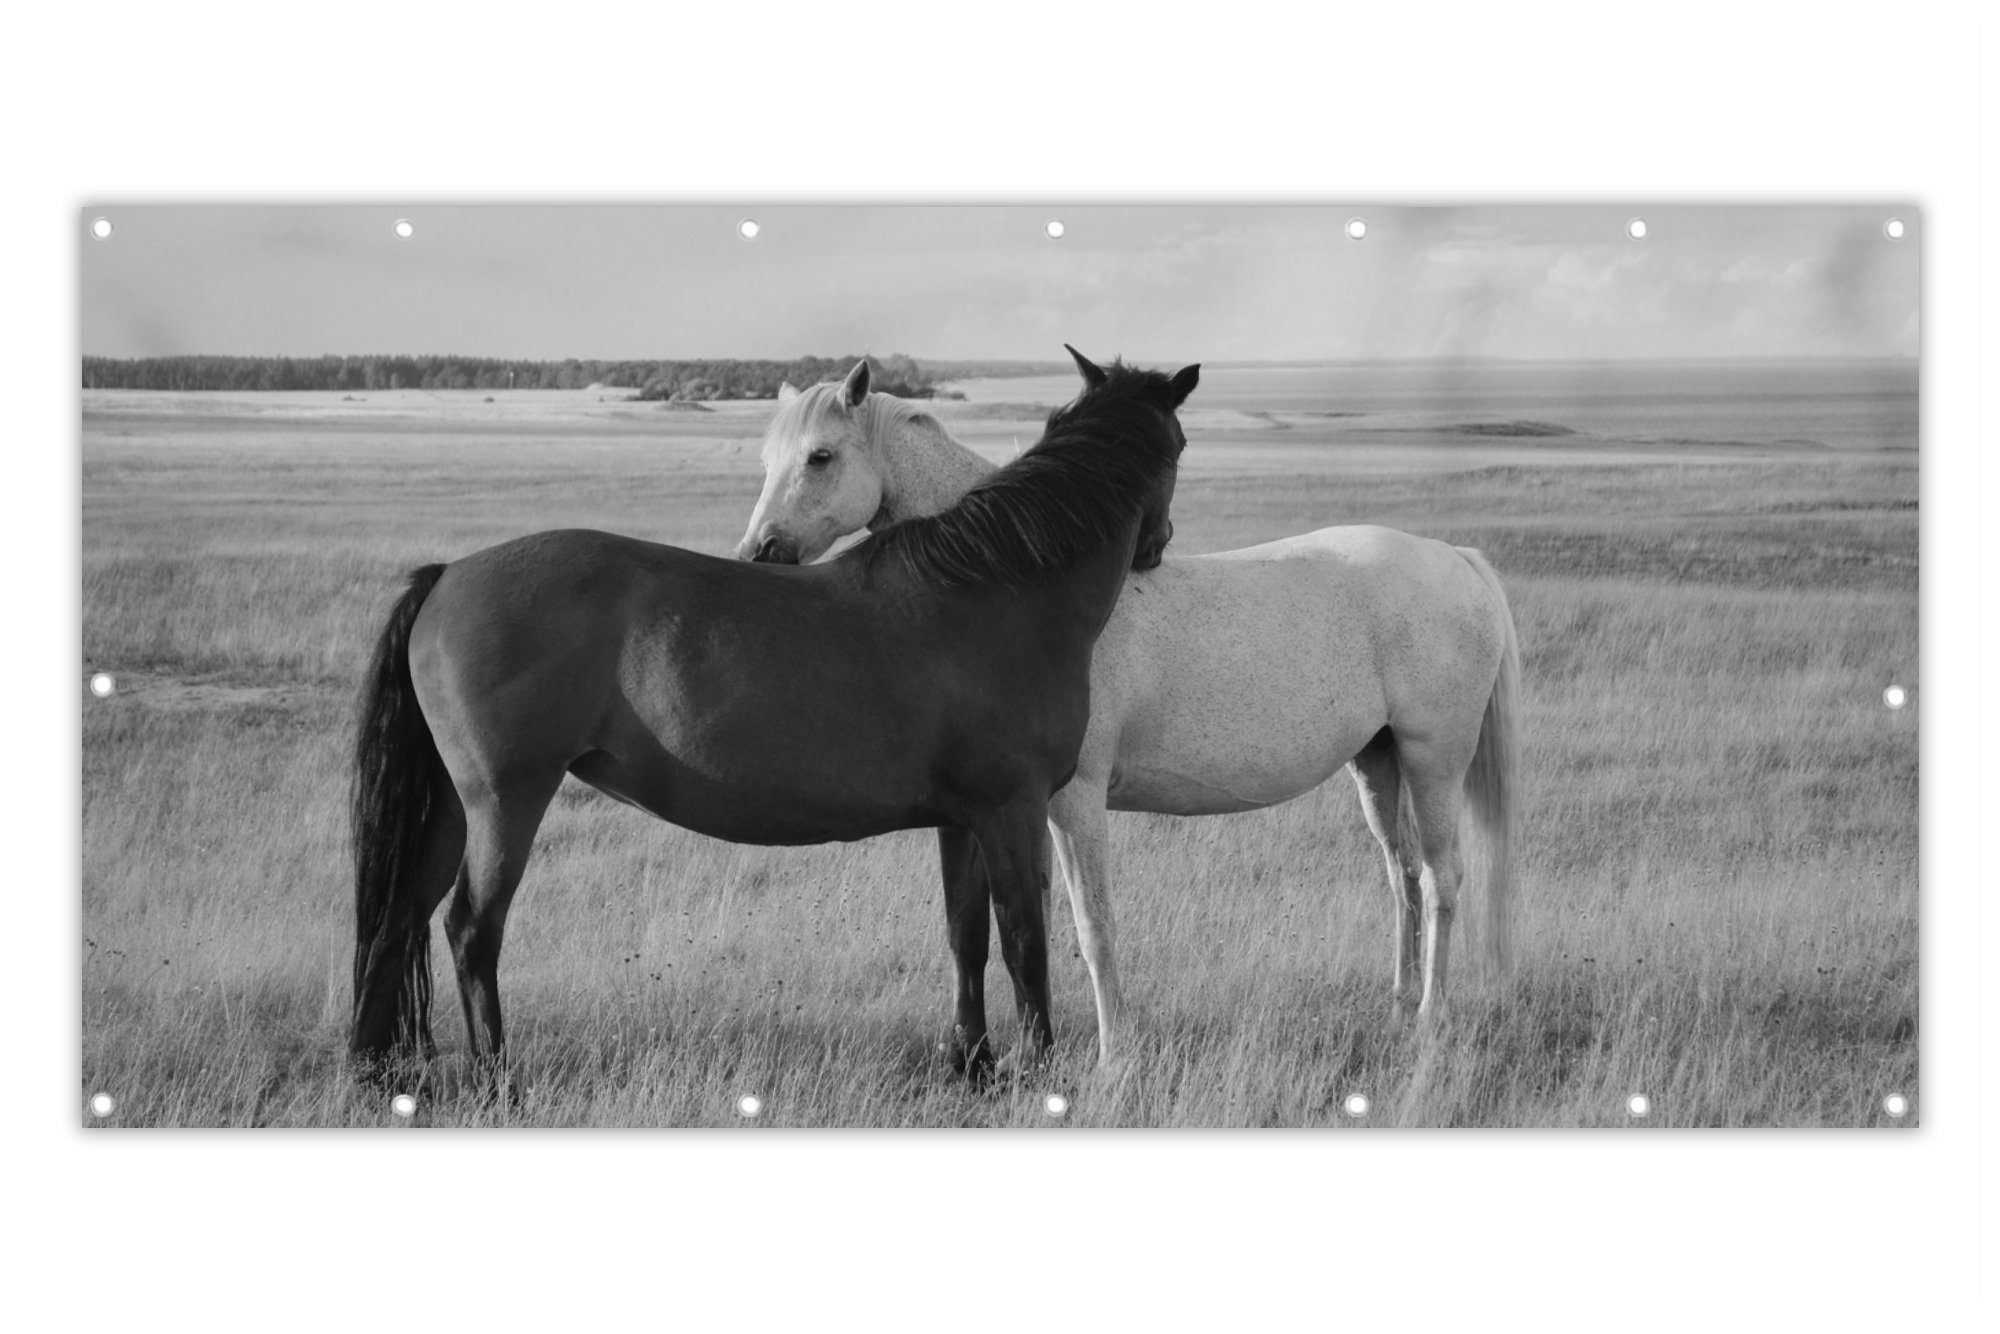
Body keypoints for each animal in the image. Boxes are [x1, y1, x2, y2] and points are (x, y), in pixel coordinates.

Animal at [350, 347, 1197, 1081]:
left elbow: (967, 938)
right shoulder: (1012, 809)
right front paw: (1036, 1070)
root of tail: (447, 575)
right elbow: (1026, 941)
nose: (1158, 545)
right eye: (1183, 443)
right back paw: (499, 1082)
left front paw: (975, 1066)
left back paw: (373, 1068)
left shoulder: (962, 820)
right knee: (470, 930)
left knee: (398, 919)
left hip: (450, 810)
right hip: (505, 804)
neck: (998, 587)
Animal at [738, 360, 1519, 1064]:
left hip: (1434, 759)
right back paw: (1398, 1007)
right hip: (1377, 762)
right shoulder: (1021, 808)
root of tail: (1455, 558)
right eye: (767, 459)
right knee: (1401, 874)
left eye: (820, 456)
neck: (1022, 580)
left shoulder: (1074, 802)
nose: (759, 553)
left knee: (1441, 878)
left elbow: (1092, 927)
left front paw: (1115, 1053)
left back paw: (1429, 1020)